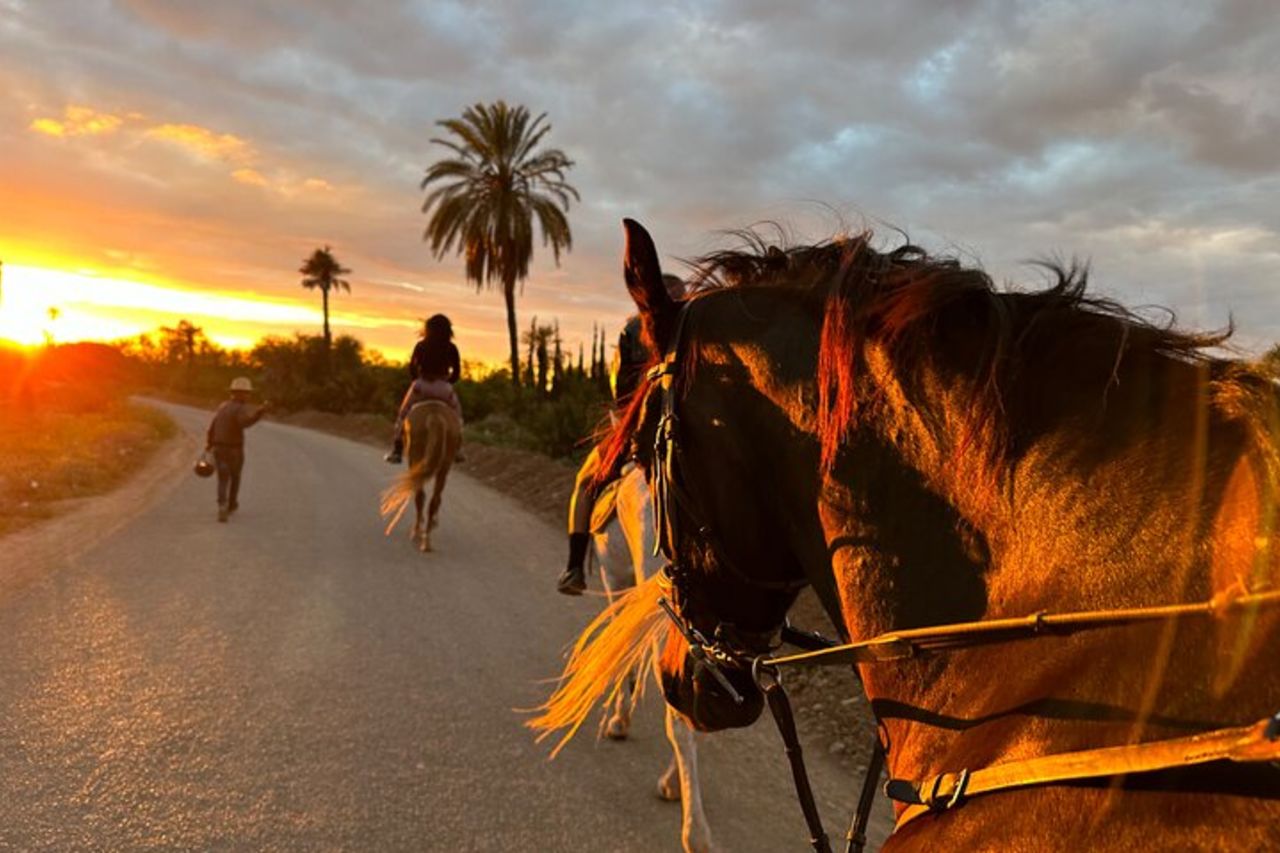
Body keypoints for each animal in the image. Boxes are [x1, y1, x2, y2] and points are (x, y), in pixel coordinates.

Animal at [380, 400, 462, 552]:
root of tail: (435, 416)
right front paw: (434, 521)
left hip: (415, 460)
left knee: (420, 495)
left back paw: (417, 531)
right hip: (444, 466)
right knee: (434, 499)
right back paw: (427, 539)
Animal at [586, 462, 715, 853]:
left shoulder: (615, 577)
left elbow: (624, 654)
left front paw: (618, 720)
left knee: (679, 720)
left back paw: (695, 832)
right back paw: (675, 786)